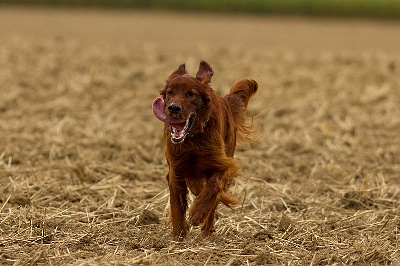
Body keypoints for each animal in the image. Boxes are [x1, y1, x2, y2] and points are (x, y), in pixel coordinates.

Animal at [152, 61, 258, 240]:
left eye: (191, 94)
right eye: (170, 92)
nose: (173, 108)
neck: (192, 140)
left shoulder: (222, 164)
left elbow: (212, 188)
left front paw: (197, 213)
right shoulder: (176, 170)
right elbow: (177, 205)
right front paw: (179, 237)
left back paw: (206, 231)